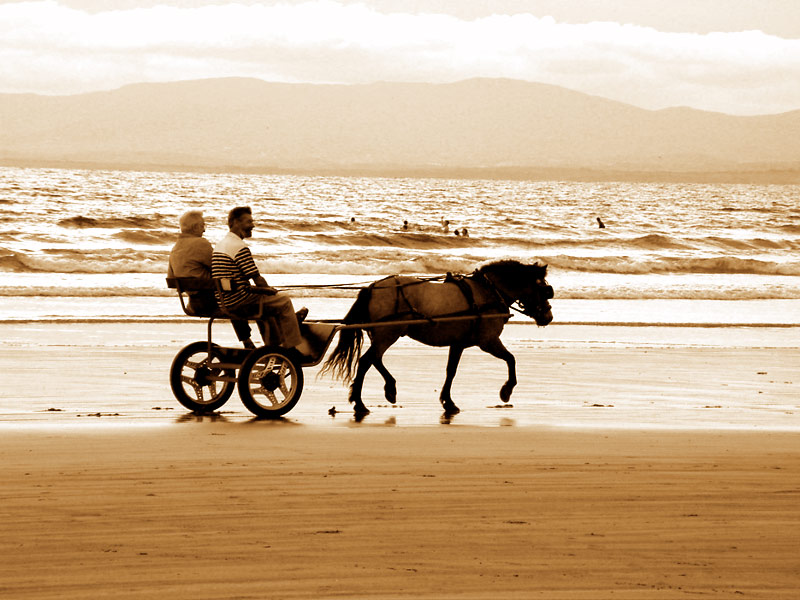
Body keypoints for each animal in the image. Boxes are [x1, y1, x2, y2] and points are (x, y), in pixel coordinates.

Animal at [322, 260, 552, 414]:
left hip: (384, 334)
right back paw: (360, 403)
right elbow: (511, 359)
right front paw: (506, 390)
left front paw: (448, 402)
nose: (548, 317)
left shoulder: (458, 344)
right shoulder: (488, 341)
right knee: (366, 361)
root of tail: (372, 287)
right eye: (544, 289)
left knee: (375, 359)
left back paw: (389, 389)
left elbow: (451, 371)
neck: (488, 291)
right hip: (388, 334)